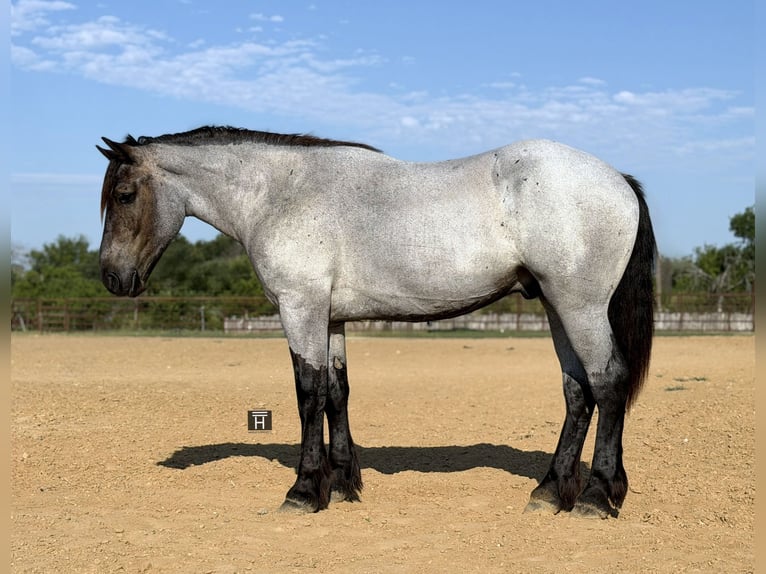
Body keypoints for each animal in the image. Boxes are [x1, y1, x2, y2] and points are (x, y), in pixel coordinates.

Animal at [96, 126, 655, 518]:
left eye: (124, 195)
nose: (111, 277)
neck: (281, 193)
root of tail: (618, 180)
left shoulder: (299, 308)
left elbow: (308, 394)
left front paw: (304, 491)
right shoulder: (329, 318)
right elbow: (336, 393)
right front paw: (343, 485)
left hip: (580, 308)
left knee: (608, 384)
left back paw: (597, 496)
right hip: (558, 308)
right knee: (578, 393)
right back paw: (549, 492)